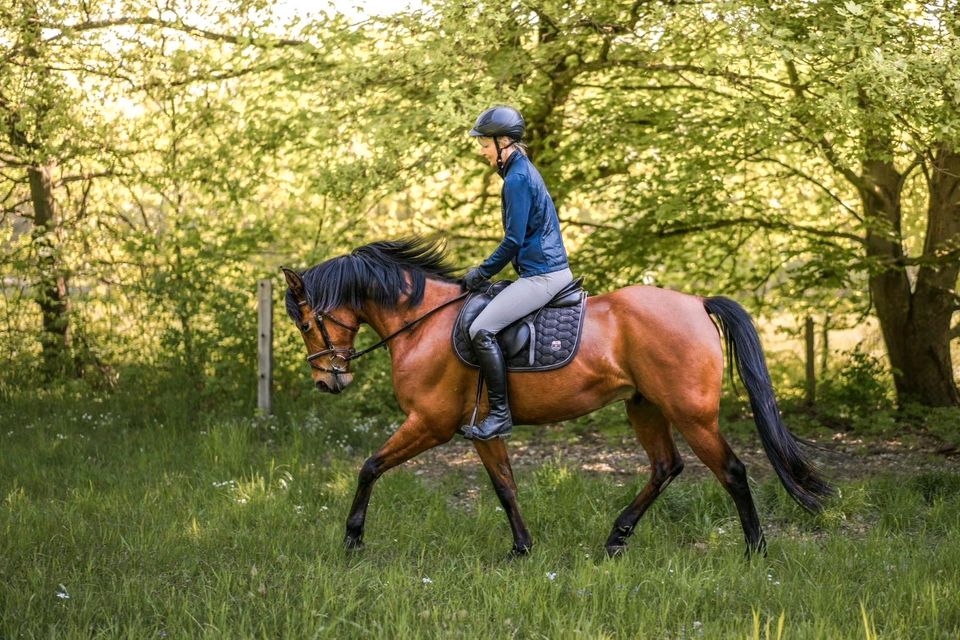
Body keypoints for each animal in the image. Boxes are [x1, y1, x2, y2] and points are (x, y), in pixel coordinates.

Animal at [282, 238, 828, 556]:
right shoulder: (480, 430)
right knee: (665, 467)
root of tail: (695, 302)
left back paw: (754, 550)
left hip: (691, 414)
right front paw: (522, 549)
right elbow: (505, 486)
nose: (329, 381)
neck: (423, 323)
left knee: (731, 471)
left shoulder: (431, 423)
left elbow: (369, 467)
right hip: (644, 406)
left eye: (307, 323)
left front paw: (353, 539)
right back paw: (615, 540)